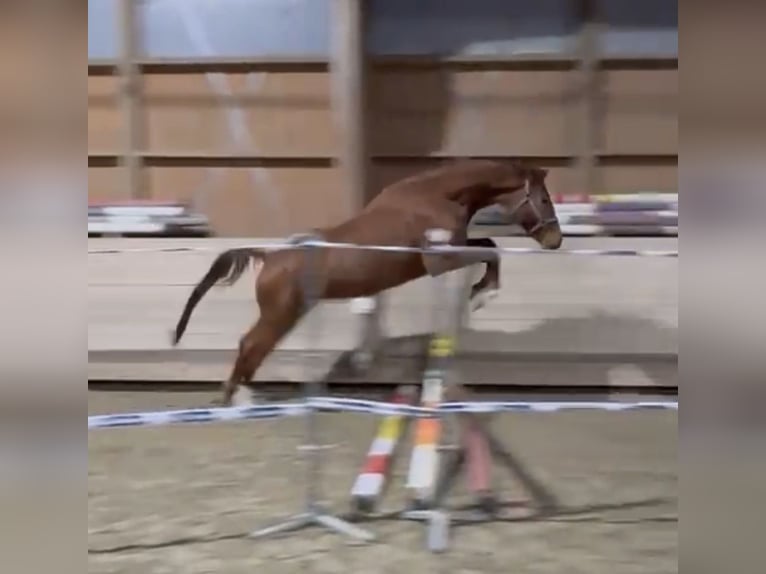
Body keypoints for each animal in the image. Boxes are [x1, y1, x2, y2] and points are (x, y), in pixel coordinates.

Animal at [172, 159, 562, 406]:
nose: (555, 240)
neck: (438, 196)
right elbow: (491, 250)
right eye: (543, 198)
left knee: (253, 347)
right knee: (251, 344)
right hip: (280, 314)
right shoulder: (441, 260)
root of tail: (269, 257)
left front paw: (481, 292)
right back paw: (236, 397)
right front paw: (483, 293)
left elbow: (488, 244)